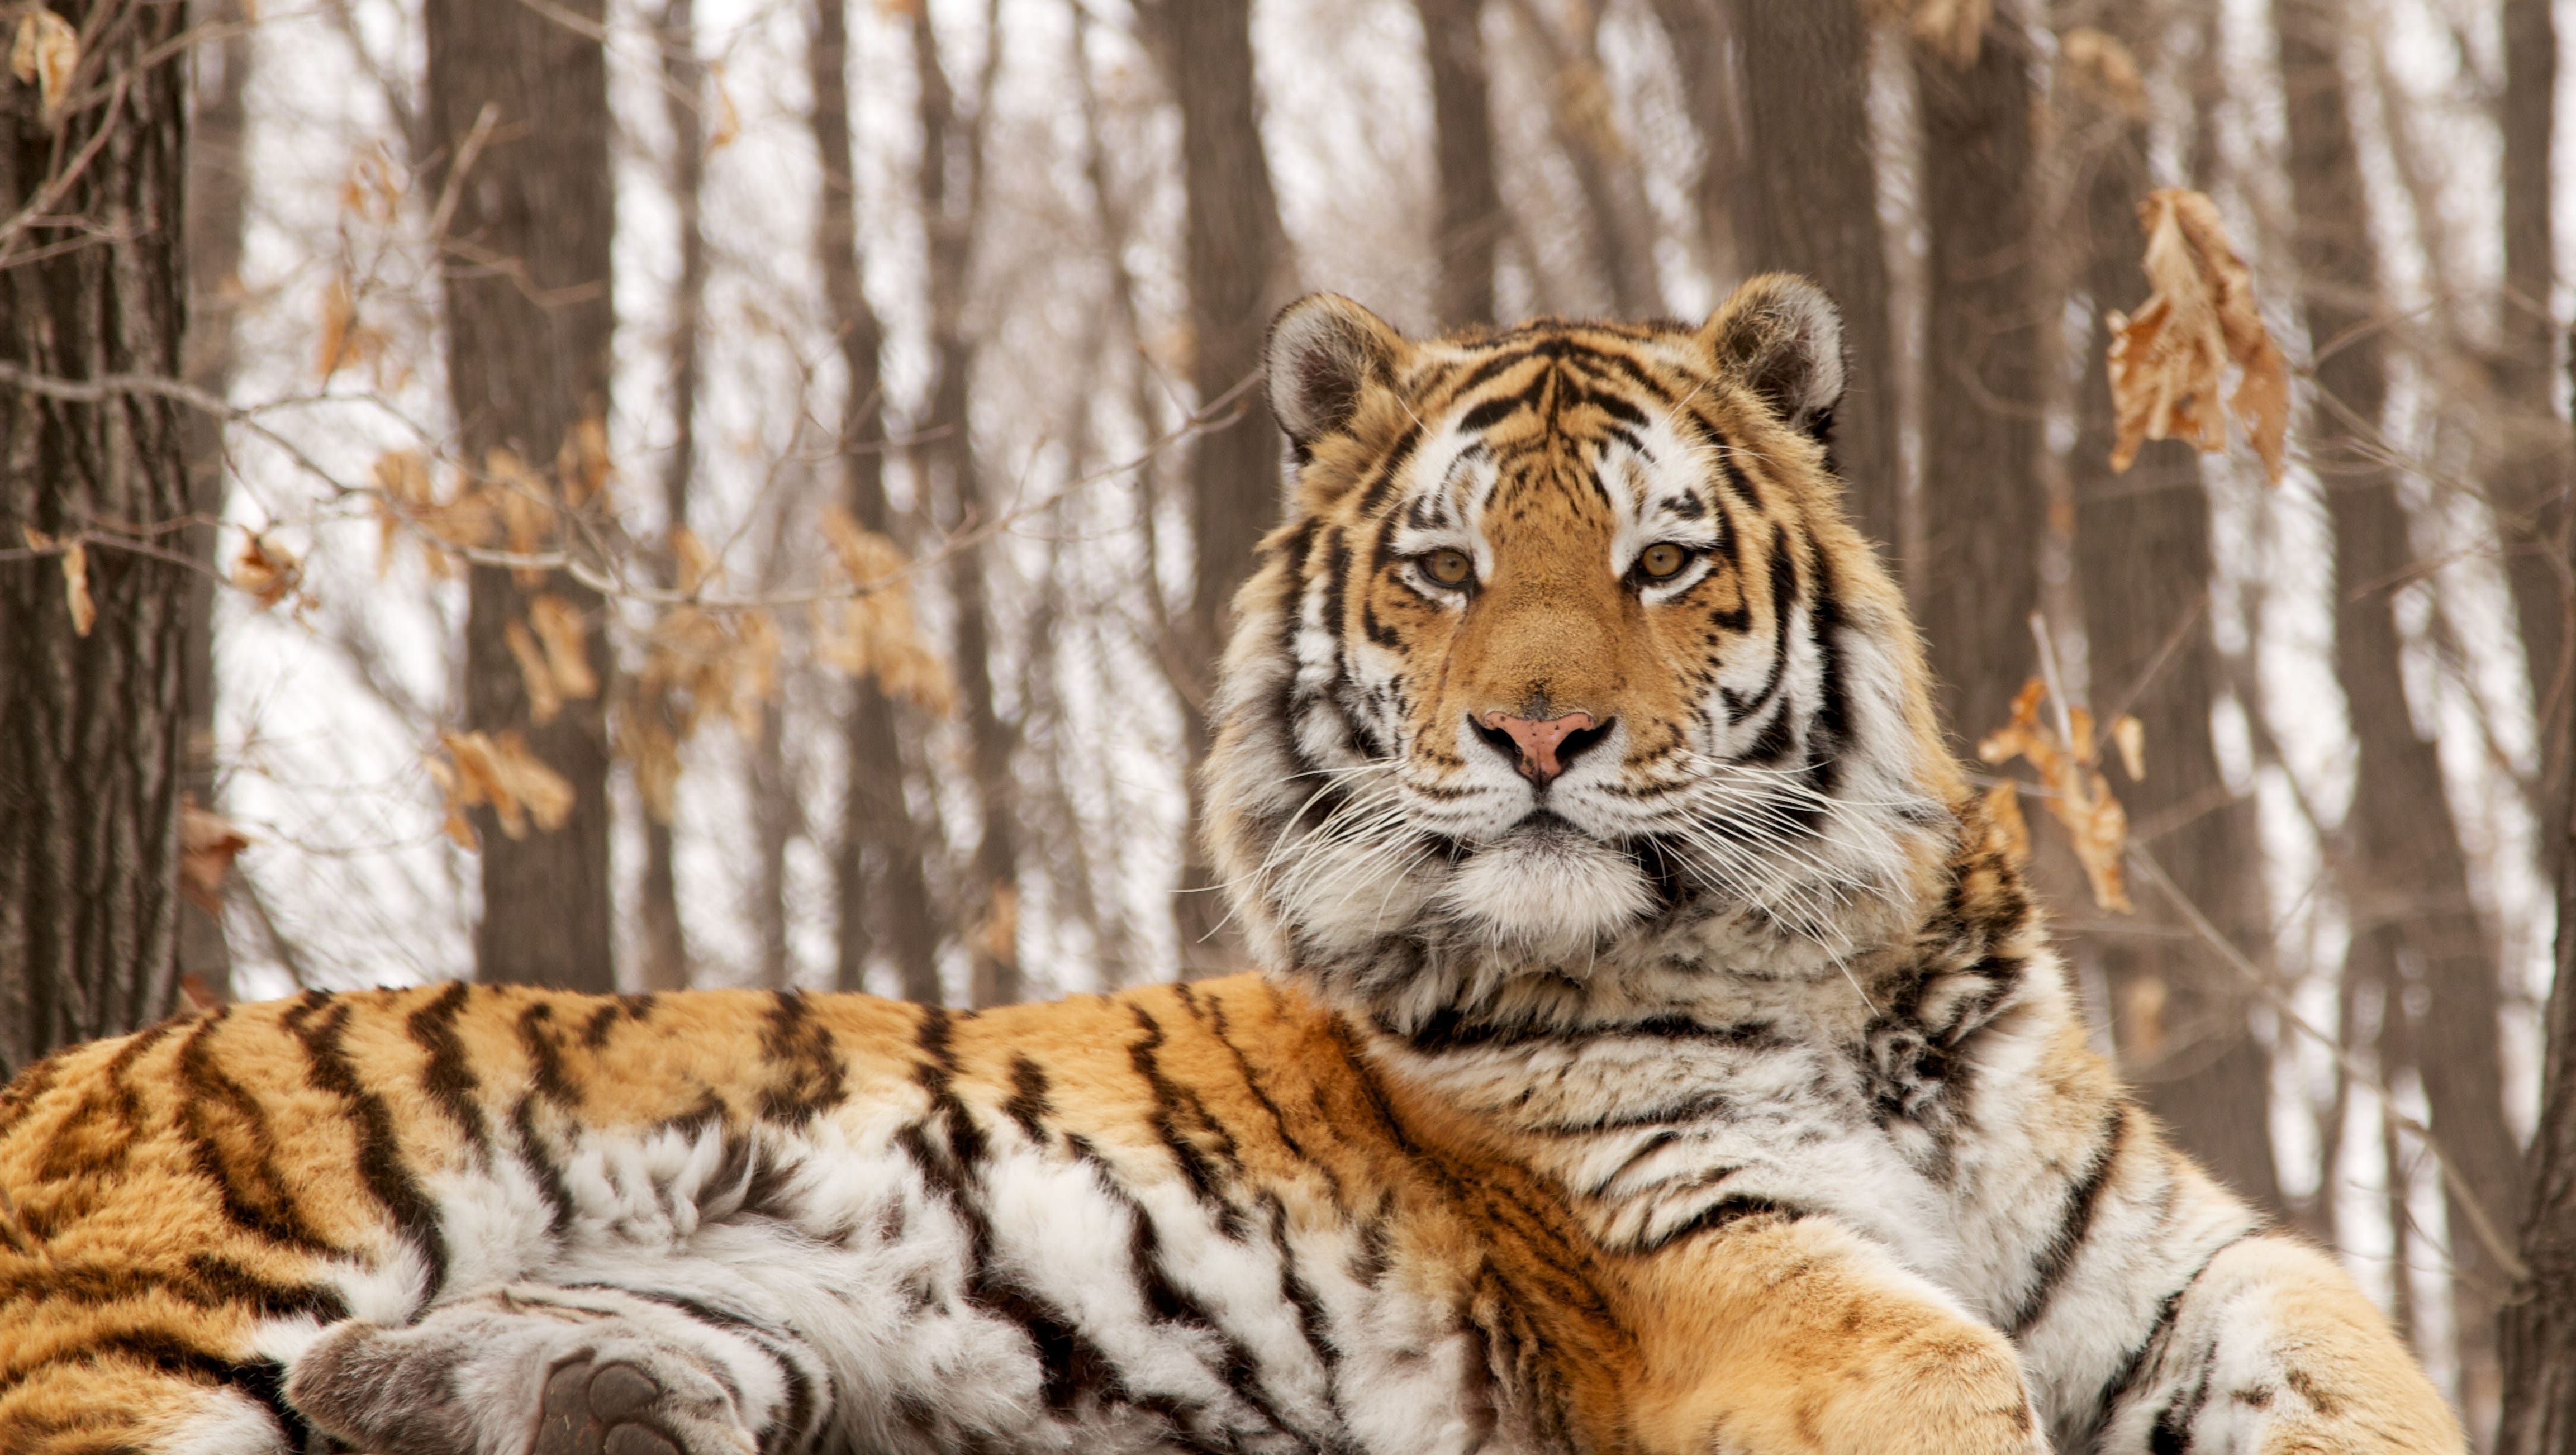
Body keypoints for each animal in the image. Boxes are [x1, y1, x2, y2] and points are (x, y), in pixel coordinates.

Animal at [0, 275, 2459, 1455]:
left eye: (1661, 561)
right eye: (1444, 570)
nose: (1539, 734)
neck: (1832, 982)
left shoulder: (2177, 1256)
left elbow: (2364, 1361)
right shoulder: (1712, 1270)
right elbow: (1957, 1378)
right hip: (174, 1302)